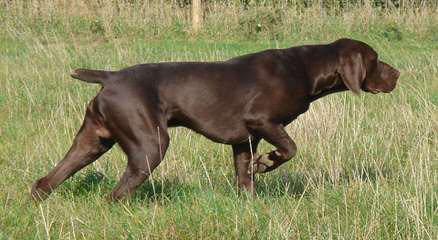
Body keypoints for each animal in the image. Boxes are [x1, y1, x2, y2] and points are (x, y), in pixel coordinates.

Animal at [30, 39, 400, 201]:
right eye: (376, 59)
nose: (397, 74)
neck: (305, 68)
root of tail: (110, 77)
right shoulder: (263, 122)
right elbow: (290, 149)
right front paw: (267, 163)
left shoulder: (245, 139)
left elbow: (244, 178)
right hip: (149, 145)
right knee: (116, 194)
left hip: (92, 142)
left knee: (45, 181)